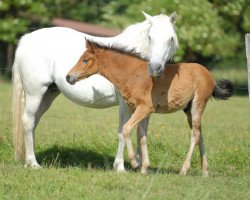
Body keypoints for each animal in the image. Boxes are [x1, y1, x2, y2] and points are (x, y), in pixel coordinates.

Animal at [13, 11, 178, 170]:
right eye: (150, 37)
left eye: (171, 38)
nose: (155, 68)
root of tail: (26, 39)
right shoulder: (125, 105)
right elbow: (122, 132)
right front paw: (120, 167)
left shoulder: (145, 107)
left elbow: (141, 134)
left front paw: (141, 167)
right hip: (35, 93)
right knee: (28, 121)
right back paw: (33, 163)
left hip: (48, 95)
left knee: (33, 122)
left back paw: (29, 160)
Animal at [66, 40, 232, 177]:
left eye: (86, 60)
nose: (68, 77)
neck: (133, 75)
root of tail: (209, 76)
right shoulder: (143, 111)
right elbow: (142, 136)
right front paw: (144, 167)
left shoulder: (144, 108)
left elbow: (127, 129)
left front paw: (134, 162)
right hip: (188, 110)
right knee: (199, 133)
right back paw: (205, 171)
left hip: (198, 104)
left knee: (195, 135)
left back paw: (184, 170)